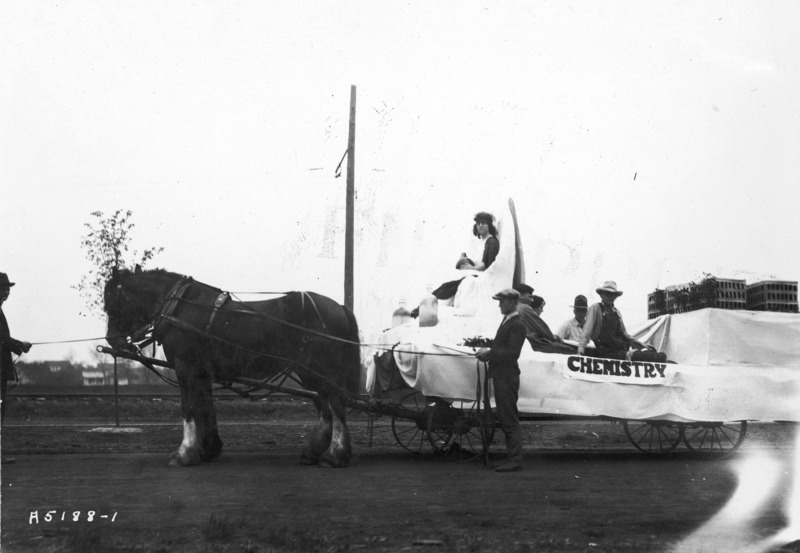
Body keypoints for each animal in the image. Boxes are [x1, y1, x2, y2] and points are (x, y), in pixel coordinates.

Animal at [104, 266, 360, 468]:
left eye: (111, 304)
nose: (111, 340)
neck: (179, 309)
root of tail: (340, 307)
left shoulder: (185, 367)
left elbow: (188, 408)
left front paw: (185, 453)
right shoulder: (202, 372)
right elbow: (205, 408)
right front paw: (208, 449)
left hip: (319, 369)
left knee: (335, 404)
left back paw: (334, 456)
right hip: (310, 373)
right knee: (325, 408)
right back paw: (313, 453)